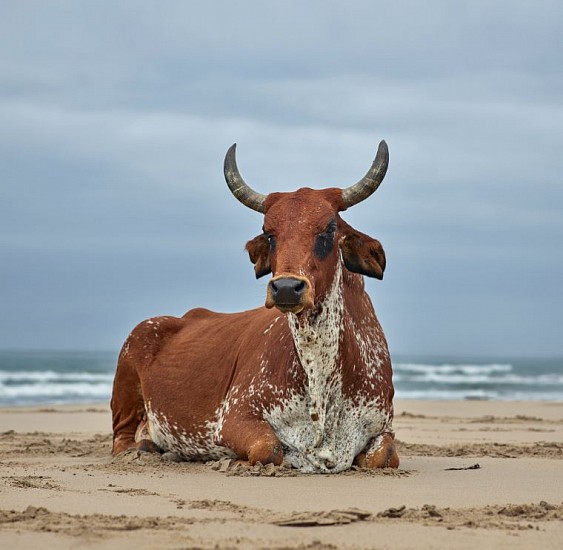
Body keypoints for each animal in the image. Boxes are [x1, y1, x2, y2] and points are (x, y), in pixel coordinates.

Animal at [111, 142, 400, 474]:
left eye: (329, 229)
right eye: (269, 233)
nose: (286, 287)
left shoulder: (384, 426)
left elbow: (384, 456)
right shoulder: (234, 417)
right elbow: (269, 447)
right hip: (128, 371)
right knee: (122, 439)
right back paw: (144, 449)